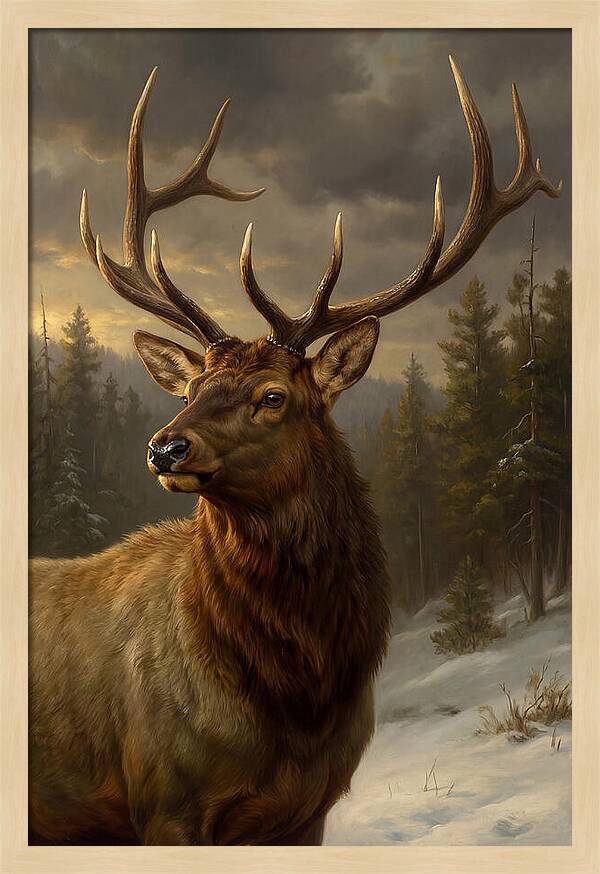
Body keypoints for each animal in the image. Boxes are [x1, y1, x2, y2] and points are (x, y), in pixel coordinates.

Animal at [29, 57, 561, 846]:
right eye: (192, 387)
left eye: (273, 396)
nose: (164, 447)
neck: (295, 702)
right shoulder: (162, 800)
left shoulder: (308, 808)